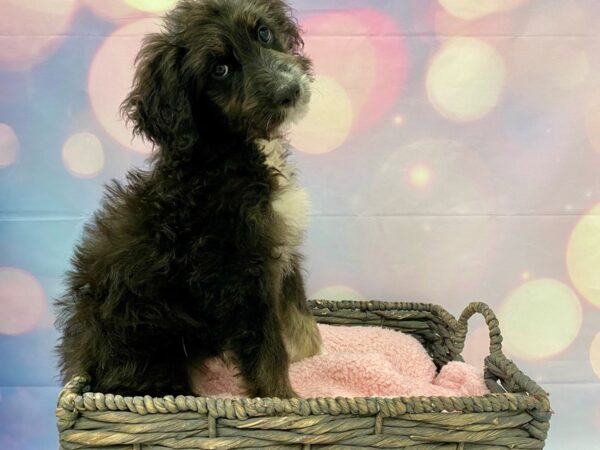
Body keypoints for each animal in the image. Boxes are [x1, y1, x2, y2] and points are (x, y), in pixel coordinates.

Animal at [55, 0, 324, 400]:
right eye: (220, 69)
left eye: (263, 33)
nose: (289, 91)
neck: (230, 149)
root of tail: (85, 357)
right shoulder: (239, 273)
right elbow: (266, 349)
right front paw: (283, 400)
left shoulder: (280, 246)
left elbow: (299, 314)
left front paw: (317, 358)